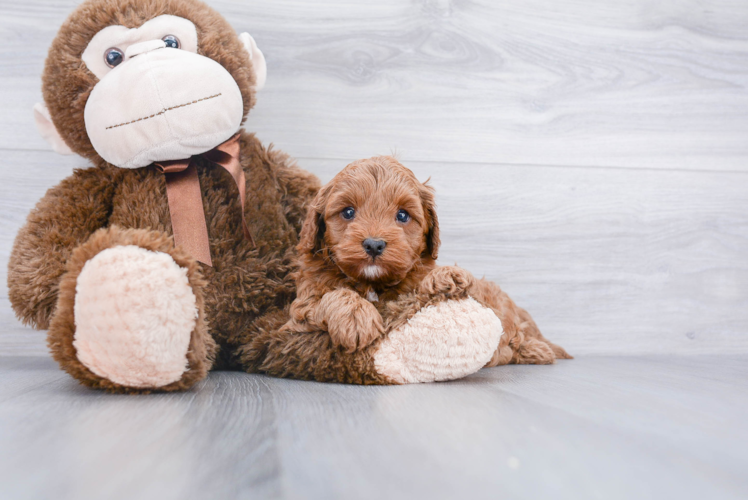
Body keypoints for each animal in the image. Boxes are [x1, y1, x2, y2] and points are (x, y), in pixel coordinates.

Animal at [290, 154, 568, 366]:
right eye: (348, 212)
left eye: (402, 215)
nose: (374, 244)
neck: (373, 285)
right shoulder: (303, 305)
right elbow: (334, 294)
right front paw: (356, 318)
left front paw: (447, 276)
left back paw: (538, 350)